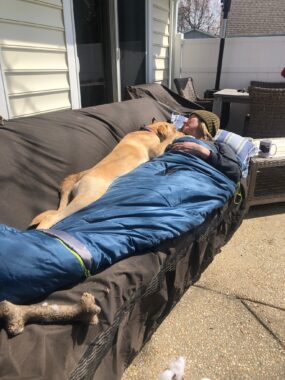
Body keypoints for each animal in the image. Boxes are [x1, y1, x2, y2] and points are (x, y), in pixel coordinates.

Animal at [31, 121, 182, 229]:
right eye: (175, 128)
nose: (182, 131)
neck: (150, 130)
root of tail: (81, 175)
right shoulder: (157, 150)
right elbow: (168, 139)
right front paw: (176, 135)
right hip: (88, 196)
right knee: (54, 217)